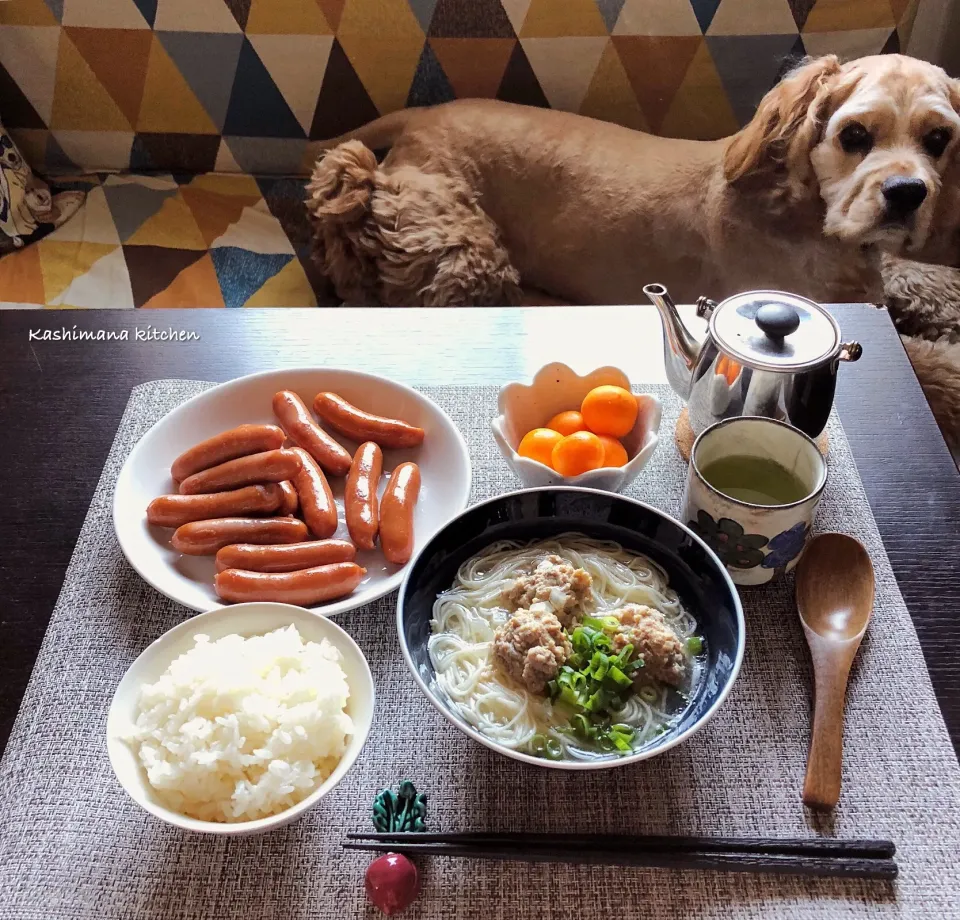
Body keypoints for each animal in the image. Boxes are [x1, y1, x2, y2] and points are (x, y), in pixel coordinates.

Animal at [310, 51, 960, 452]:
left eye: (938, 138)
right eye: (854, 135)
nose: (908, 193)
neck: (804, 208)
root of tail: (423, 114)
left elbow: (917, 277)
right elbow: (929, 365)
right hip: (458, 244)